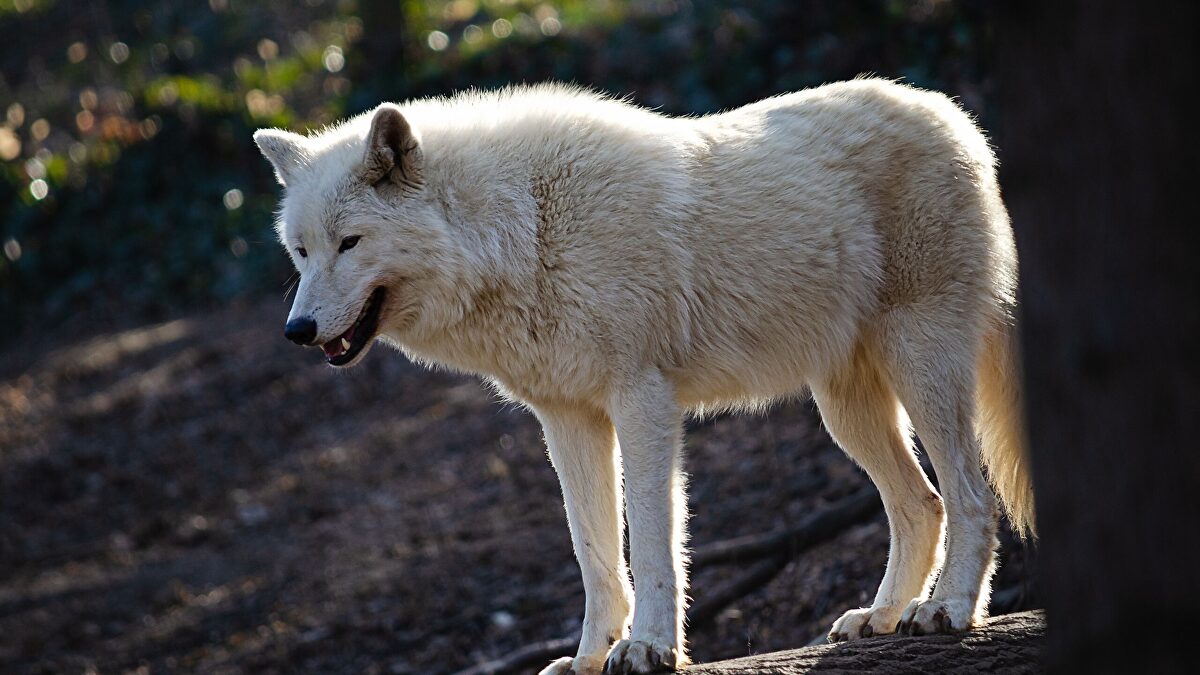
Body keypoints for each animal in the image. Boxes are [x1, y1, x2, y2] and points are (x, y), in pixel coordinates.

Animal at [253, 78, 1033, 674]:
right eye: (300, 250)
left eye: (351, 242)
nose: (297, 330)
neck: (524, 229)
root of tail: (958, 118)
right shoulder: (567, 420)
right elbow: (595, 554)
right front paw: (590, 657)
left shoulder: (644, 402)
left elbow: (653, 542)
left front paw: (651, 648)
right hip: (845, 409)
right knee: (921, 503)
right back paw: (881, 615)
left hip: (919, 365)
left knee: (971, 497)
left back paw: (946, 609)